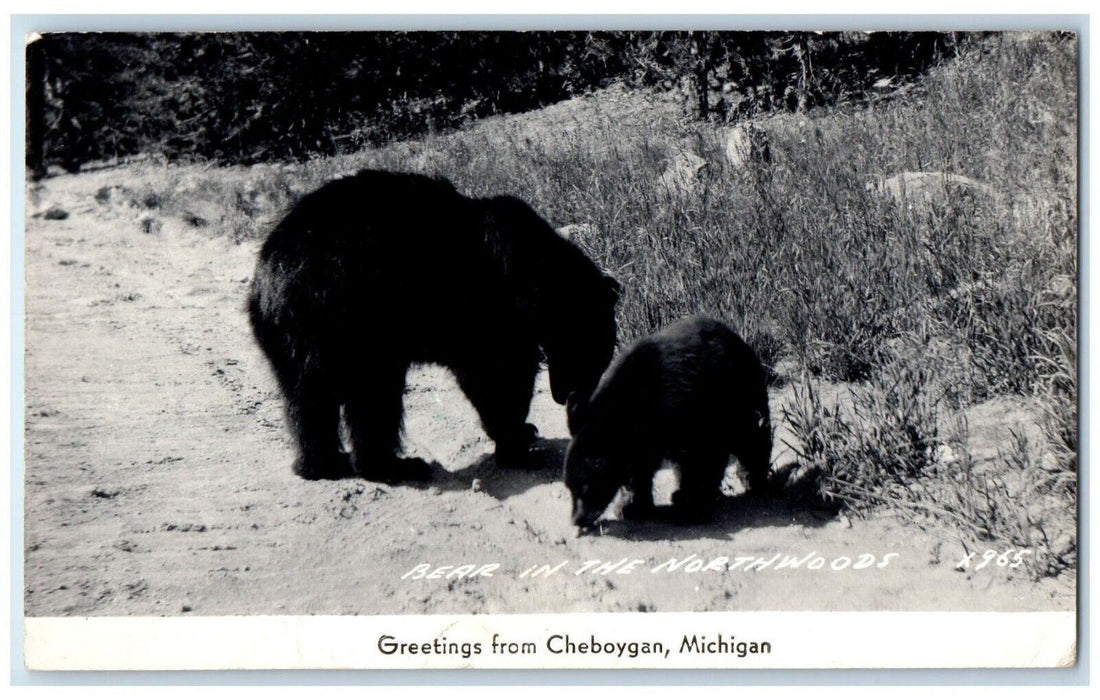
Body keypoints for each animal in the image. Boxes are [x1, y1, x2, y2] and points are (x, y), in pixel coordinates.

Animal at [248, 169, 620, 483]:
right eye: (594, 355)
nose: (571, 403)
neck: (541, 277)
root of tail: (269, 286)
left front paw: (522, 433)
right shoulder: (490, 309)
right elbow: (499, 375)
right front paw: (518, 444)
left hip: (292, 342)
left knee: (306, 401)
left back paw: (322, 465)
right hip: (355, 321)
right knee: (373, 397)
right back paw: (394, 466)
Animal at [563, 315, 772, 532]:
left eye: (586, 487)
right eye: (569, 486)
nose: (576, 520)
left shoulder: (690, 414)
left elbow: (700, 459)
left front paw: (691, 510)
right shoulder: (644, 438)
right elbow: (639, 469)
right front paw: (631, 506)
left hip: (741, 398)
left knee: (752, 437)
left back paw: (752, 479)